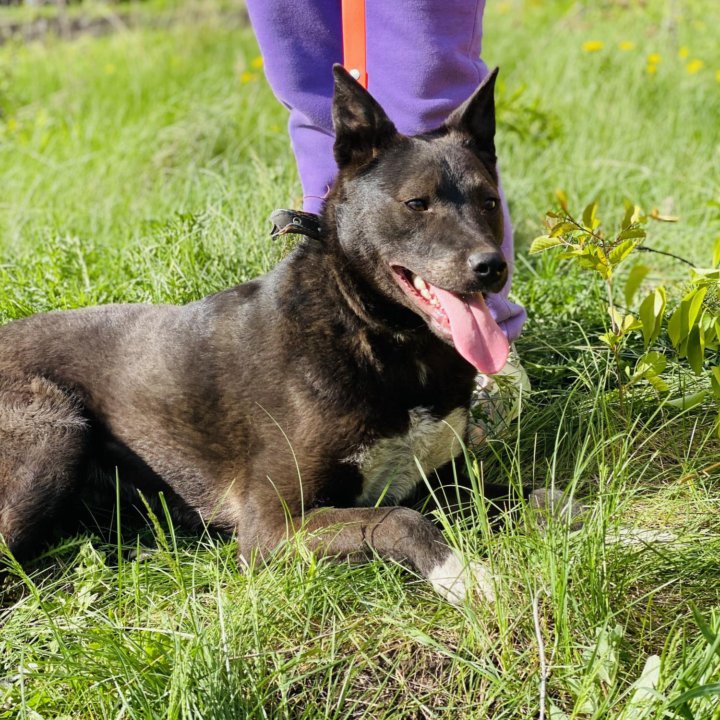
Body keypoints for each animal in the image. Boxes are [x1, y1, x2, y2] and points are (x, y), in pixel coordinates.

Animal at [2, 66, 516, 600]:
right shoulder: (271, 528)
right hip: (55, 432)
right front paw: (461, 572)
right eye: (417, 203)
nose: (491, 267)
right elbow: (399, 518)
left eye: (489, 202)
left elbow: (523, 493)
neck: (371, 332)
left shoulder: (448, 482)